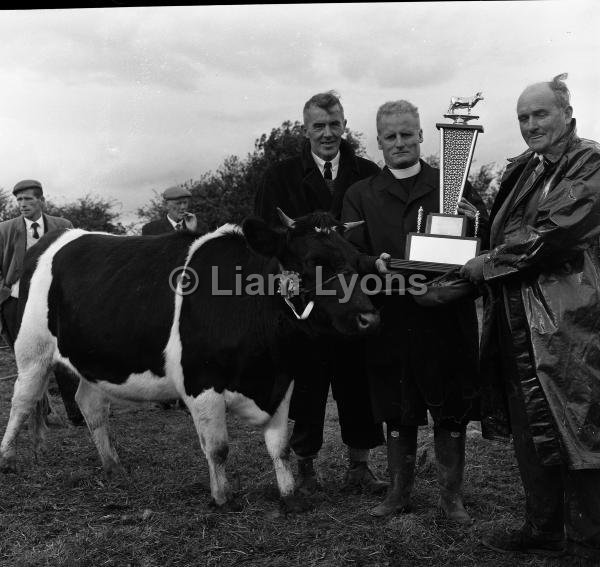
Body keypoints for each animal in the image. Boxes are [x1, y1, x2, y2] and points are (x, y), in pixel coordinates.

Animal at [0, 212, 380, 510]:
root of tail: (52, 238)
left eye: (358, 259)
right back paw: (7, 459)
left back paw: (114, 467)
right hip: (32, 352)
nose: (369, 317)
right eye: (313, 261)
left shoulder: (281, 381)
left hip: (93, 359)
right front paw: (223, 497)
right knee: (22, 402)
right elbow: (218, 447)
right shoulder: (201, 382)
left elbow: (280, 446)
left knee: (89, 403)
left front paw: (290, 495)